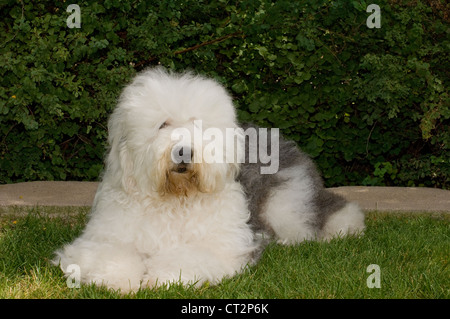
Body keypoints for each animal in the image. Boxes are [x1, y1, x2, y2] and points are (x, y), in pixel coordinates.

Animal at [54, 67, 366, 292]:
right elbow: (111, 255)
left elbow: (188, 257)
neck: (175, 199)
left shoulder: (221, 245)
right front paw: (121, 280)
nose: (183, 151)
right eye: (163, 124)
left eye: (198, 126)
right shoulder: (102, 238)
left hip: (286, 202)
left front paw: (159, 278)